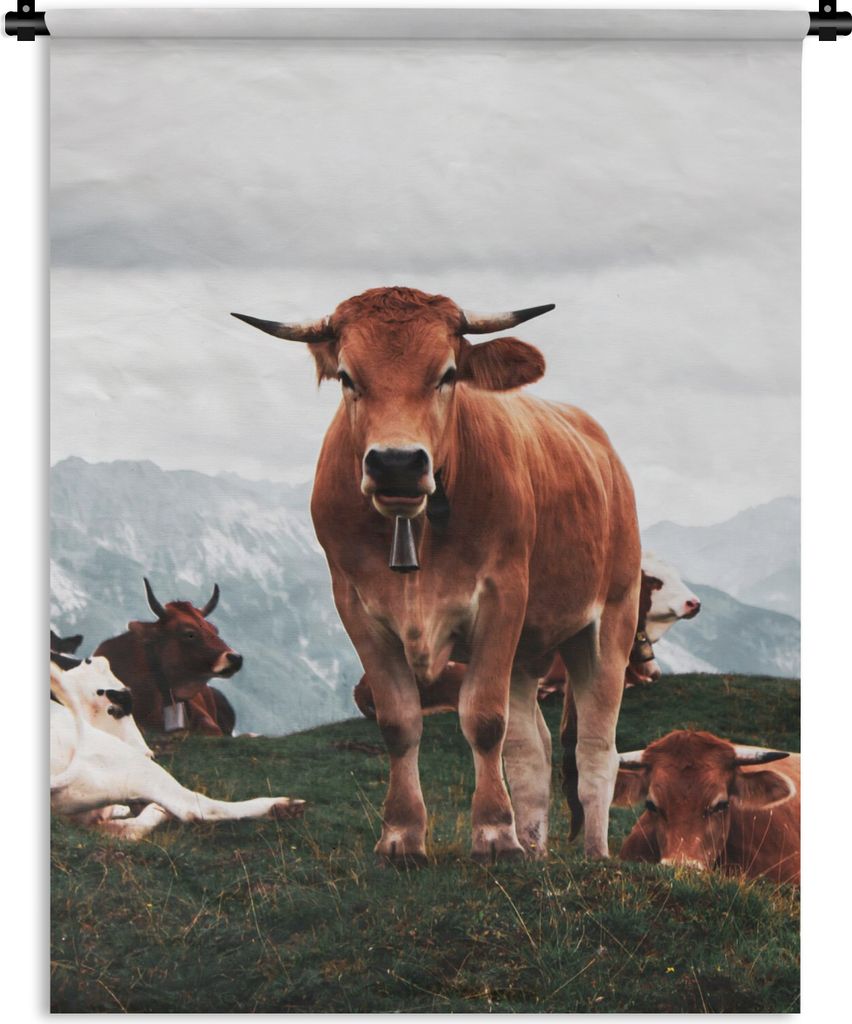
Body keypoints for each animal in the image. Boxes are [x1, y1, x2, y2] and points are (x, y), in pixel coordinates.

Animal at [50, 653, 304, 839]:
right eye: (120, 706)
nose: (148, 753)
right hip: (137, 769)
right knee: (196, 808)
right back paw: (283, 805)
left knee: (129, 829)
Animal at [233, 285, 641, 864]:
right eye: (348, 377)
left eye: (447, 373)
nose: (397, 463)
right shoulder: (355, 605)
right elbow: (399, 721)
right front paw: (402, 835)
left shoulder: (502, 596)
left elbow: (484, 719)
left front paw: (494, 834)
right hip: (527, 652)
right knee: (531, 750)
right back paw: (535, 847)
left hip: (611, 619)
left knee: (595, 747)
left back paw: (593, 853)